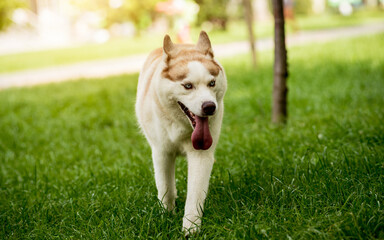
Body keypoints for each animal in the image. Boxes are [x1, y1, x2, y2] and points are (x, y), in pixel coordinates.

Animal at [135, 31, 226, 233]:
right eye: (188, 86)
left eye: (212, 83)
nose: (210, 107)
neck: (182, 128)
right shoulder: (162, 153)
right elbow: (165, 187)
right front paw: (167, 215)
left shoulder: (201, 155)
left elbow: (195, 194)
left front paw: (190, 229)